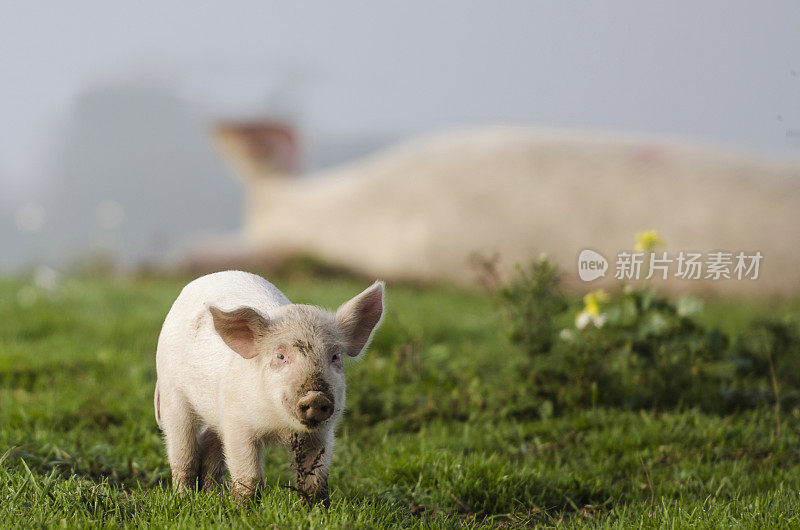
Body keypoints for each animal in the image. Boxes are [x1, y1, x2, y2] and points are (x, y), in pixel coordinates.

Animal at [155, 270, 386, 506]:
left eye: (335, 356)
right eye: (281, 356)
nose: (316, 396)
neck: (279, 426)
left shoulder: (322, 432)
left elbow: (315, 479)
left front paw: (316, 509)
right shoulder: (237, 424)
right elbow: (249, 477)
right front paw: (243, 509)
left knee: (209, 447)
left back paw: (213, 496)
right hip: (172, 396)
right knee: (184, 456)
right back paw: (184, 499)